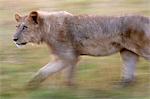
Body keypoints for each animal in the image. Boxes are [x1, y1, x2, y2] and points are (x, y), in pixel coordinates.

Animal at [13, 10, 150, 89]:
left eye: (25, 27)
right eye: (17, 26)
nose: (14, 39)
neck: (46, 30)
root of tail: (146, 19)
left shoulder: (67, 56)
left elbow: (45, 71)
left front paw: (30, 86)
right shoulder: (70, 56)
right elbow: (64, 72)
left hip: (143, 49)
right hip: (127, 52)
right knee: (129, 71)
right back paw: (121, 85)